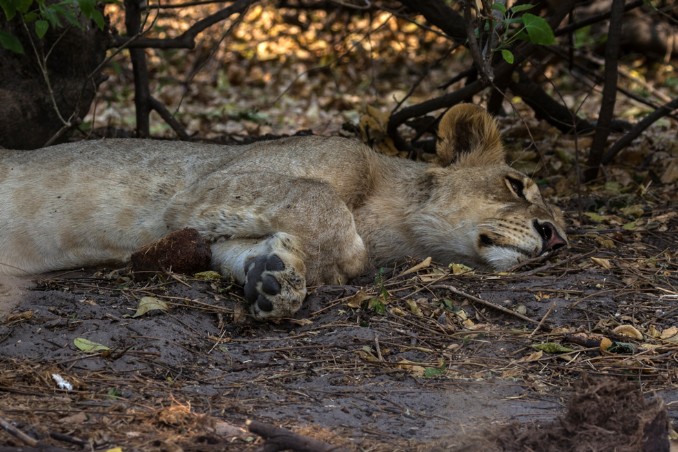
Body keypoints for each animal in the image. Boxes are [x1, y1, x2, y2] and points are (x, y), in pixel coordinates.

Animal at [0, 105, 568, 318]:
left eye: (565, 227)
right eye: (516, 185)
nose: (556, 238)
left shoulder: (209, 224)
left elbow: (236, 252)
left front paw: (273, 277)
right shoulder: (211, 185)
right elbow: (324, 205)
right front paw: (334, 259)